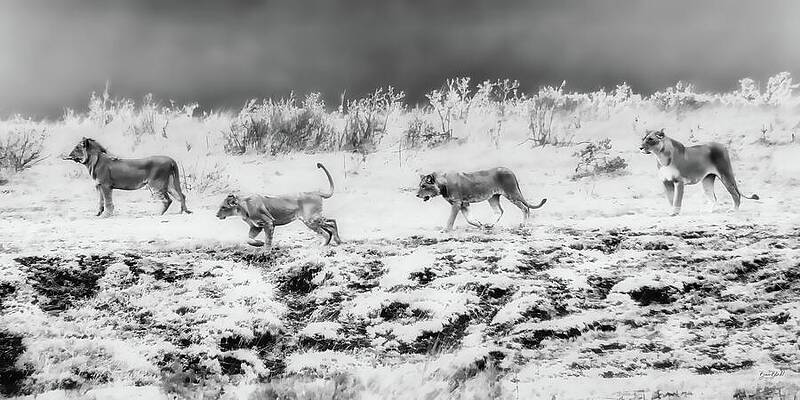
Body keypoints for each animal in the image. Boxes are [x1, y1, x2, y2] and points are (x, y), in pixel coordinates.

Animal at [416, 167, 547, 231]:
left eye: (424, 186)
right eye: (420, 185)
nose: (417, 195)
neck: (443, 185)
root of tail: (509, 170)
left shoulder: (457, 203)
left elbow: (450, 219)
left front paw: (445, 230)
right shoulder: (464, 204)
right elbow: (469, 219)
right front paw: (480, 225)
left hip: (512, 193)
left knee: (525, 208)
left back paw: (523, 225)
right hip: (493, 197)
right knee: (499, 211)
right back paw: (489, 225)